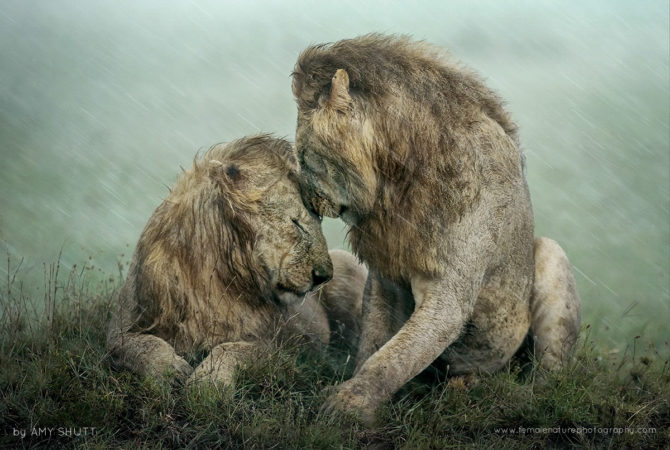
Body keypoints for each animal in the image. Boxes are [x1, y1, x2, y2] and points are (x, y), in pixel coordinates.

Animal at [106, 135, 367, 387]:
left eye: (319, 222)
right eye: (297, 223)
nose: (324, 276)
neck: (210, 274)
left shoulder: (281, 351)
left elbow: (231, 348)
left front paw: (208, 382)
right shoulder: (120, 328)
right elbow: (140, 345)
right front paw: (171, 371)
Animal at [291, 34, 581, 422]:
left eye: (305, 156)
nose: (307, 201)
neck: (398, 183)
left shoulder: (449, 297)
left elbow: (394, 358)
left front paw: (348, 404)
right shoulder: (386, 277)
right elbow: (375, 344)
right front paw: (351, 393)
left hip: (550, 254)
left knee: (550, 374)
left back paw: (507, 393)